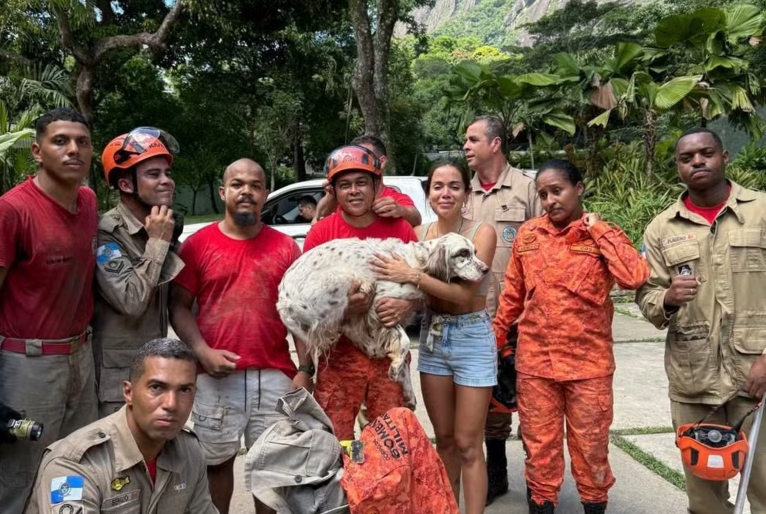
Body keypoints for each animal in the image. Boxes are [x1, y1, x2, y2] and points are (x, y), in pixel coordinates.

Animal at [280, 233, 488, 408]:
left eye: (475, 252)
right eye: (463, 253)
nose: (486, 269)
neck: (417, 262)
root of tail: (283, 297)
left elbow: (404, 359)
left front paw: (407, 390)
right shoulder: (379, 304)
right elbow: (404, 341)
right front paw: (395, 367)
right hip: (343, 279)